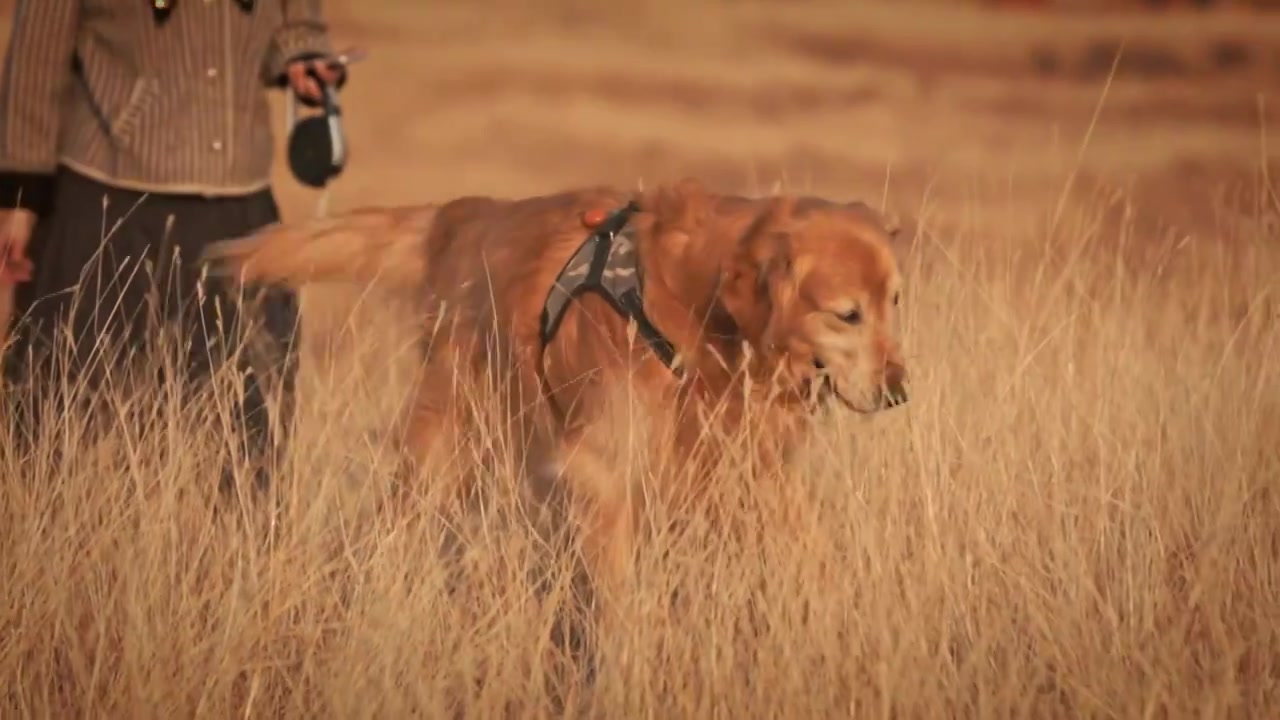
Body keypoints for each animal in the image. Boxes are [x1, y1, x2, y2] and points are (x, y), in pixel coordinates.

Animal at [202, 179, 911, 609]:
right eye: (847, 315)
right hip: (445, 446)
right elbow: (620, 599)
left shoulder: (746, 465)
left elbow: (809, 548)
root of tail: (467, 212)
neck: (693, 301)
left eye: (894, 302)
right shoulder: (602, 469)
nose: (900, 391)